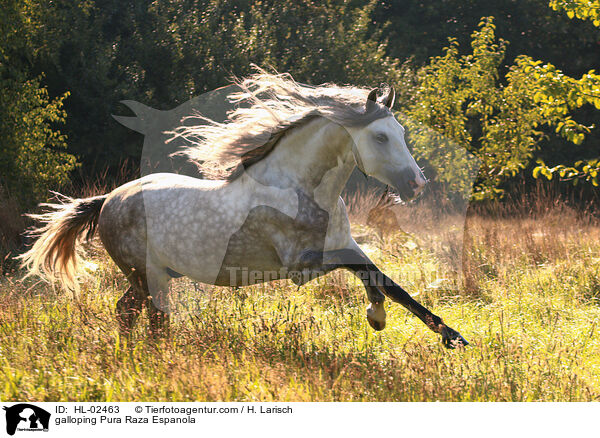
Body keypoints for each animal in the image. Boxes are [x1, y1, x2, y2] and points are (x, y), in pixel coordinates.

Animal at [19, 70, 468, 348]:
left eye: (401, 132)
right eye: (379, 136)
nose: (416, 184)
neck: (298, 188)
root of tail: (110, 199)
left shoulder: (345, 244)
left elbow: (388, 282)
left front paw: (451, 336)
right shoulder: (301, 265)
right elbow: (369, 274)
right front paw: (377, 316)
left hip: (151, 275)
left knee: (126, 312)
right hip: (148, 276)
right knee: (153, 320)